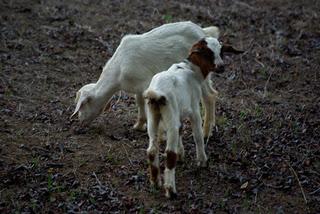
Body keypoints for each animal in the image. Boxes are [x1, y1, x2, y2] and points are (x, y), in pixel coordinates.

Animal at [71, 21, 219, 139]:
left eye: (82, 105)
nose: (80, 121)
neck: (119, 71)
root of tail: (203, 32)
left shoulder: (146, 83)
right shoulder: (138, 87)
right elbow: (139, 102)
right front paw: (138, 125)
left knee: (209, 96)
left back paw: (206, 133)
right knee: (213, 93)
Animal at [144, 37, 242, 199]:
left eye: (221, 51)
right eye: (208, 54)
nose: (221, 67)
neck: (191, 69)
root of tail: (157, 94)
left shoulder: (179, 114)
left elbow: (181, 131)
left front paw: (182, 154)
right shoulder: (194, 109)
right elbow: (197, 135)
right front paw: (202, 160)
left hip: (153, 117)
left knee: (152, 150)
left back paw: (155, 182)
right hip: (170, 116)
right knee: (169, 153)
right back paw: (170, 190)